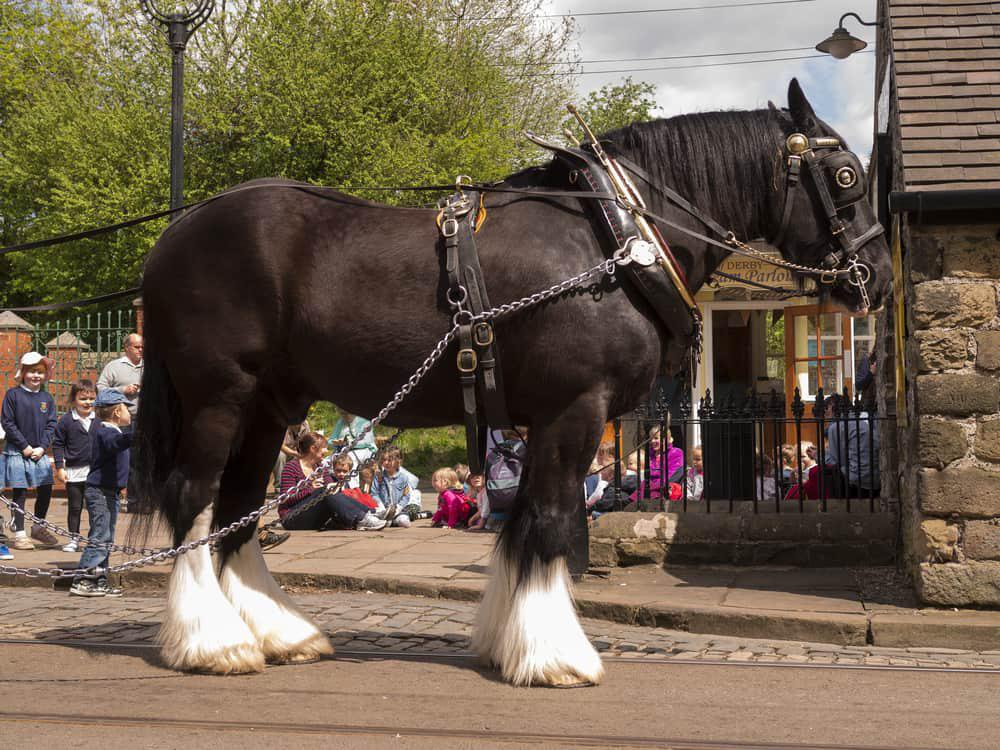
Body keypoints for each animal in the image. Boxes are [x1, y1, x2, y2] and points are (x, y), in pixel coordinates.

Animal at [133, 81, 892, 688]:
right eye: (846, 176)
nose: (879, 277)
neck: (615, 240)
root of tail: (176, 232)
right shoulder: (574, 409)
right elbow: (551, 523)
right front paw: (555, 655)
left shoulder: (540, 421)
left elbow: (524, 524)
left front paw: (511, 641)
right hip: (219, 396)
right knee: (193, 498)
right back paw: (212, 642)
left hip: (268, 406)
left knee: (236, 509)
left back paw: (278, 632)